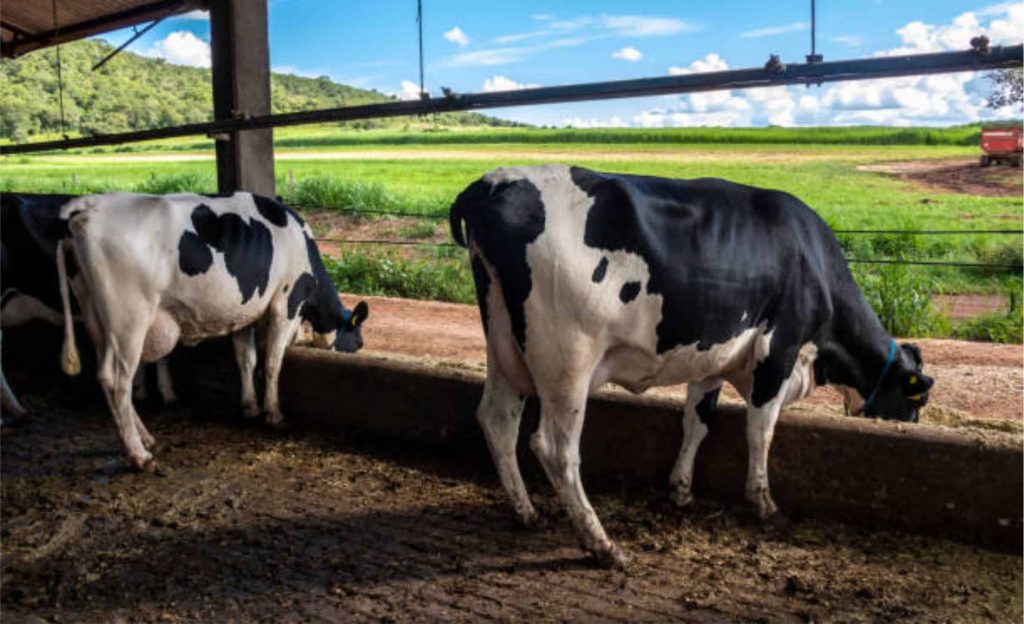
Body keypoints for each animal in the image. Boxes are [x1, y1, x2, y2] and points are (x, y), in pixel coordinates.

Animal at [56, 189, 368, 467]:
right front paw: (273, 413)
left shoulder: (244, 312)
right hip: (129, 320)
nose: (360, 348)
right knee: (120, 382)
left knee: (105, 376)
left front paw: (249, 406)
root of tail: (88, 207)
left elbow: (246, 359)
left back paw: (144, 437)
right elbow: (272, 362)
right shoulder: (287, 301)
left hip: (96, 317)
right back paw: (138, 454)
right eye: (357, 338)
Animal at [452, 162, 933, 565]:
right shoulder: (778, 349)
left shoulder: (712, 359)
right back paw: (601, 544)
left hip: (504, 344)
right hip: (566, 357)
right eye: (917, 399)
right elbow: (760, 431)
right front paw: (763, 503)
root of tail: (491, 183)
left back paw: (526, 511)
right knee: (554, 447)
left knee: (497, 418)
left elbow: (697, 422)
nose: (911, 424)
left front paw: (681, 489)